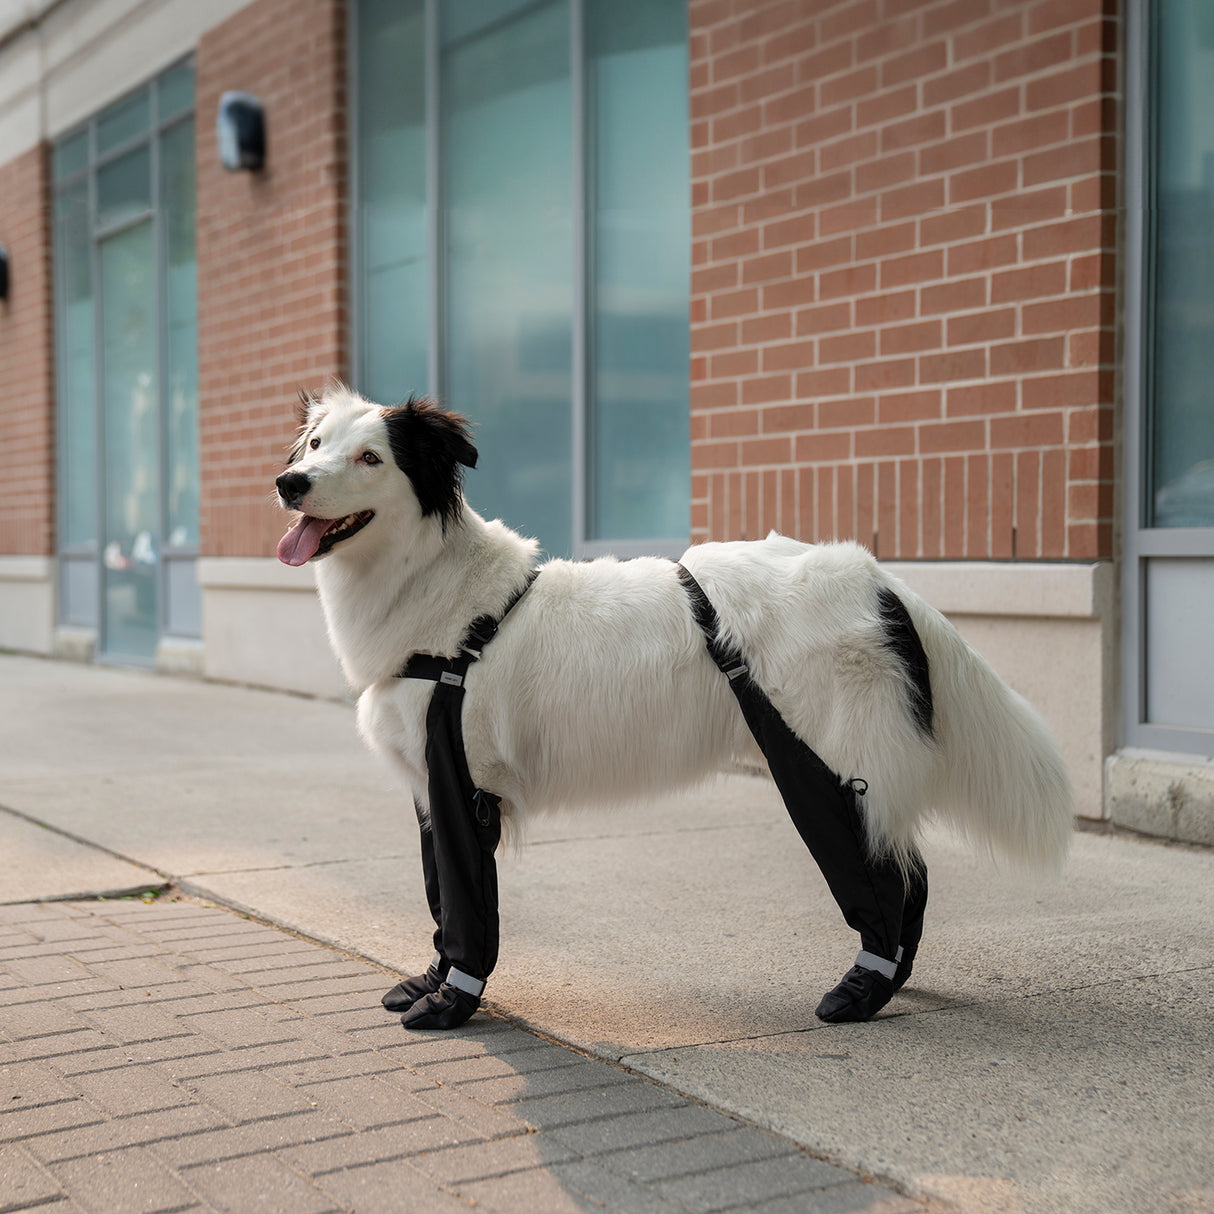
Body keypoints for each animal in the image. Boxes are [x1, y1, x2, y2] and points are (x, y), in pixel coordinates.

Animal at [278, 383, 1073, 1029]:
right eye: (317, 445)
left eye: (371, 458)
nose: (288, 482)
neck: (436, 592)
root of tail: (875, 577)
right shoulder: (430, 786)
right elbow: (442, 900)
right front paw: (429, 981)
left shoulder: (459, 783)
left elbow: (469, 909)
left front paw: (452, 1004)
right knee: (911, 869)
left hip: (824, 762)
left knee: (887, 874)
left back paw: (863, 990)